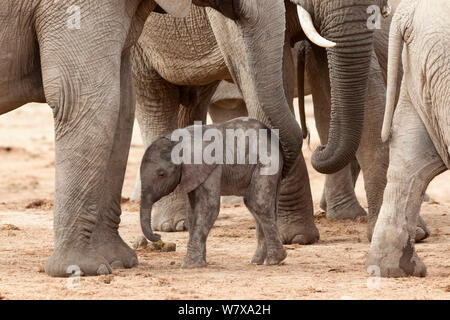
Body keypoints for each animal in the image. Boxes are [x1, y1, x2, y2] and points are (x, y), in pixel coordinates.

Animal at [141, 117, 286, 268]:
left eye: (161, 174)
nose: (158, 236)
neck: (177, 141)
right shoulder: (193, 172)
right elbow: (192, 211)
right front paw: (201, 263)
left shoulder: (209, 166)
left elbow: (208, 207)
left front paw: (189, 266)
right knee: (257, 206)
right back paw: (257, 261)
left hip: (267, 162)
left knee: (256, 203)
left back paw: (273, 260)